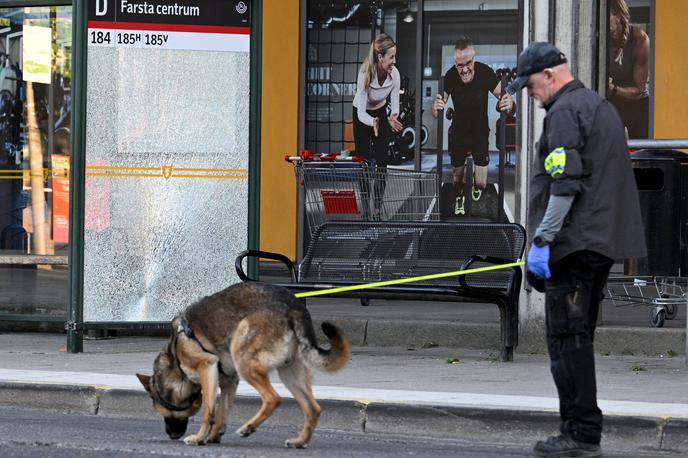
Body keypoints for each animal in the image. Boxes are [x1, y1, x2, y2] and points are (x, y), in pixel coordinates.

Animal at [136, 282, 350, 448]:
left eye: (163, 412)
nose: (171, 435)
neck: (176, 359)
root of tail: (295, 308)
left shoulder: (207, 368)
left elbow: (209, 410)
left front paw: (199, 438)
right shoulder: (229, 380)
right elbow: (222, 410)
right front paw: (213, 436)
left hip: (245, 361)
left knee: (273, 398)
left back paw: (249, 427)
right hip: (289, 374)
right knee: (313, 409)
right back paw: (300, 441)